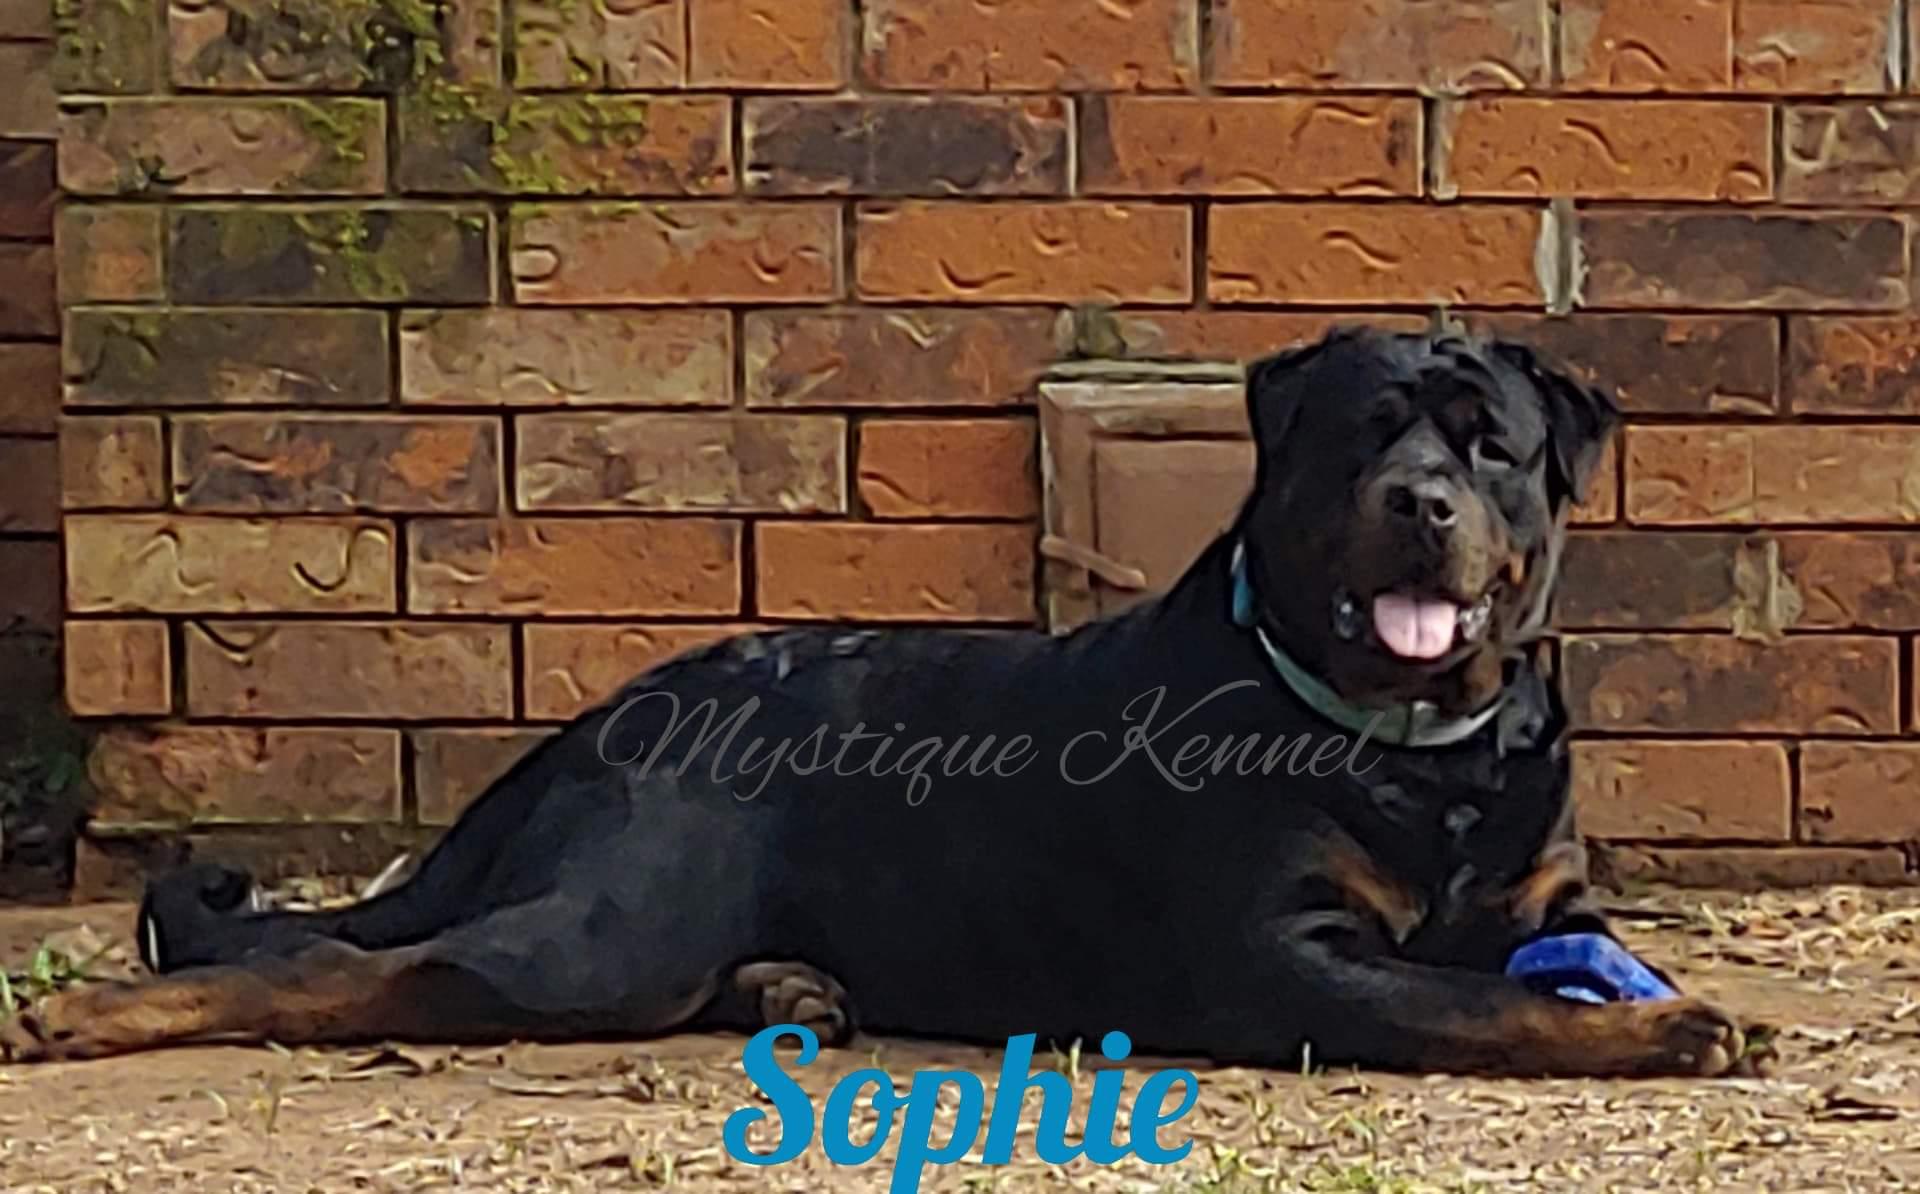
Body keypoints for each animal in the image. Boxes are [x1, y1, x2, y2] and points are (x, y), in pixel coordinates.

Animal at [1, 327, 1750, 1076]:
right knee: (330, 972)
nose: (1419, 502)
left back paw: (791, 988)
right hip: (605, 932)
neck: (1415, 741)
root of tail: (603, 718)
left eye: (1489, 443)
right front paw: (1665, 1027)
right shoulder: (1289, 955)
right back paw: (85, 1016)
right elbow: (1484, 1005)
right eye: (1362, 435)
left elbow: (1537, 957)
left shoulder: (1542, 894)